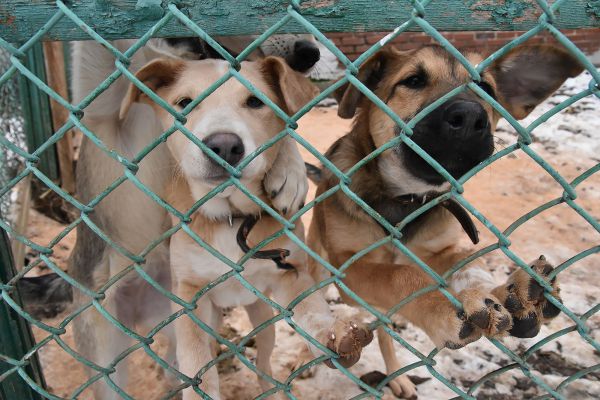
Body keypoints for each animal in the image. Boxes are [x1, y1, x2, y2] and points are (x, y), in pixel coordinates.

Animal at [116, 54, 376, 398]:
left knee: (264, 360)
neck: (232, 218)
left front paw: (333, 333)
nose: (223, 146)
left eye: (255, 102)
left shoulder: (289, 272)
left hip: (262, 317)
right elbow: (195, 357)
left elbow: (311, 306)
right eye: (184, 103)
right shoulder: (189, 295)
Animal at [302, 43, 584, 396]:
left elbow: (467, 261)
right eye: (413, 80)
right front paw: (442, 309)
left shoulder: (438, 250)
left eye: (486, 89)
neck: (408, 199)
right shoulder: (350, 266)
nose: (470, 117)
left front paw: (509, 294)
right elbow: (402, 275)